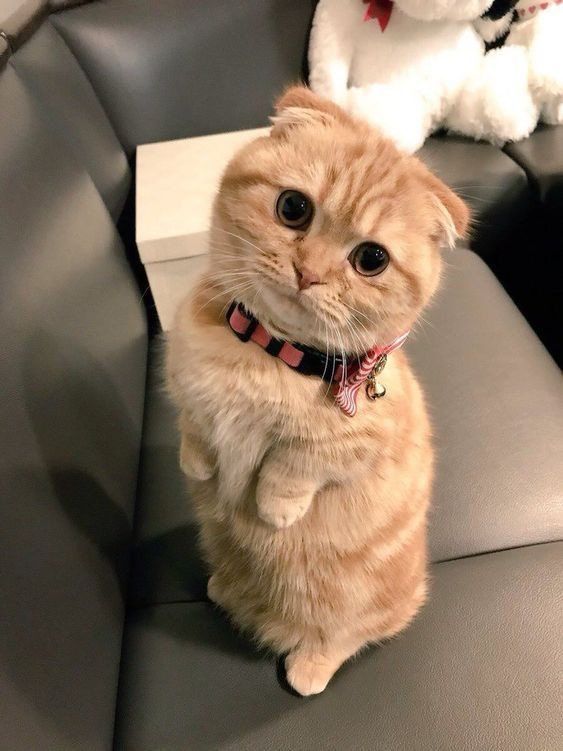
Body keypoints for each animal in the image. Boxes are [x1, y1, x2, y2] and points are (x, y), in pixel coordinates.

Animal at [167, 85, 472, 696]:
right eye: (293, 208)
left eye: (371, 258)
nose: (308, 272)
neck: (268, 354)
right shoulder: (186, 378)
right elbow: (197, 423)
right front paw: (199, 464)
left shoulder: (348, 446)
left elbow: (296, 463)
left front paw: (275, 506)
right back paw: (224, 588)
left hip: (353, 608)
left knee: (348, 635)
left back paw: (309, 666)